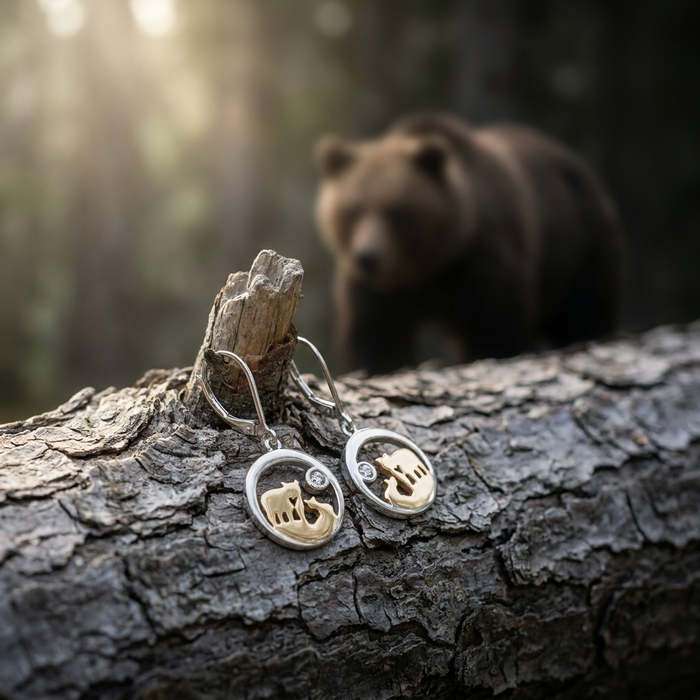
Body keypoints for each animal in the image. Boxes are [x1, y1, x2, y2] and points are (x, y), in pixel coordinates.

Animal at [315, 112, 625, 375]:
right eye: (353, 211)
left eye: (397, 212)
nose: (368, 257)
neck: (431, 264)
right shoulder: (379, 289)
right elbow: (376, 334)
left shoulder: (483, 262)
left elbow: (496, 327)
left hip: (579, 246)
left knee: (584, 310)